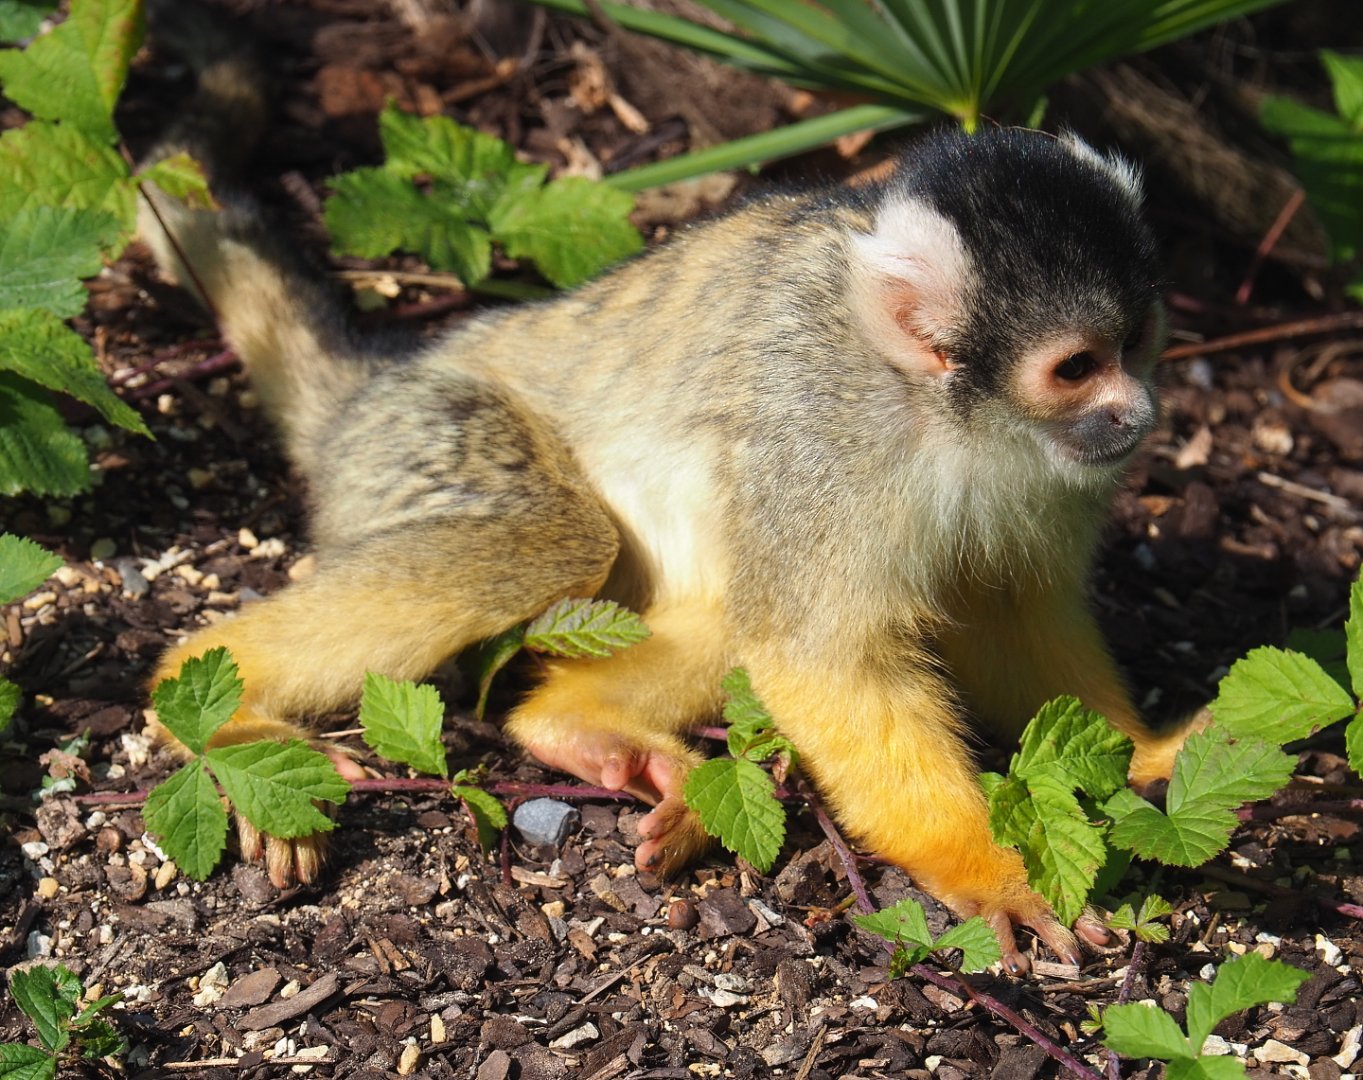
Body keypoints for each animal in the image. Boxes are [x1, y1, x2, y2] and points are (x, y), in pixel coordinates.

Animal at [138, 10, 1191, 974]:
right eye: (1073, 368)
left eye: (1135, 340)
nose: (1137, 411)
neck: (952, 417)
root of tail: (368, 395)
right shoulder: (820, 432)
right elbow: (822, 657)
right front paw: (988, 870)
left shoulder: (1058, 473)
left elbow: (1008, 611)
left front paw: (1141, 756)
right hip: (417, 437)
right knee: (567, 538)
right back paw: (219, 699)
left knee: (724, 598)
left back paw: (575, 729)